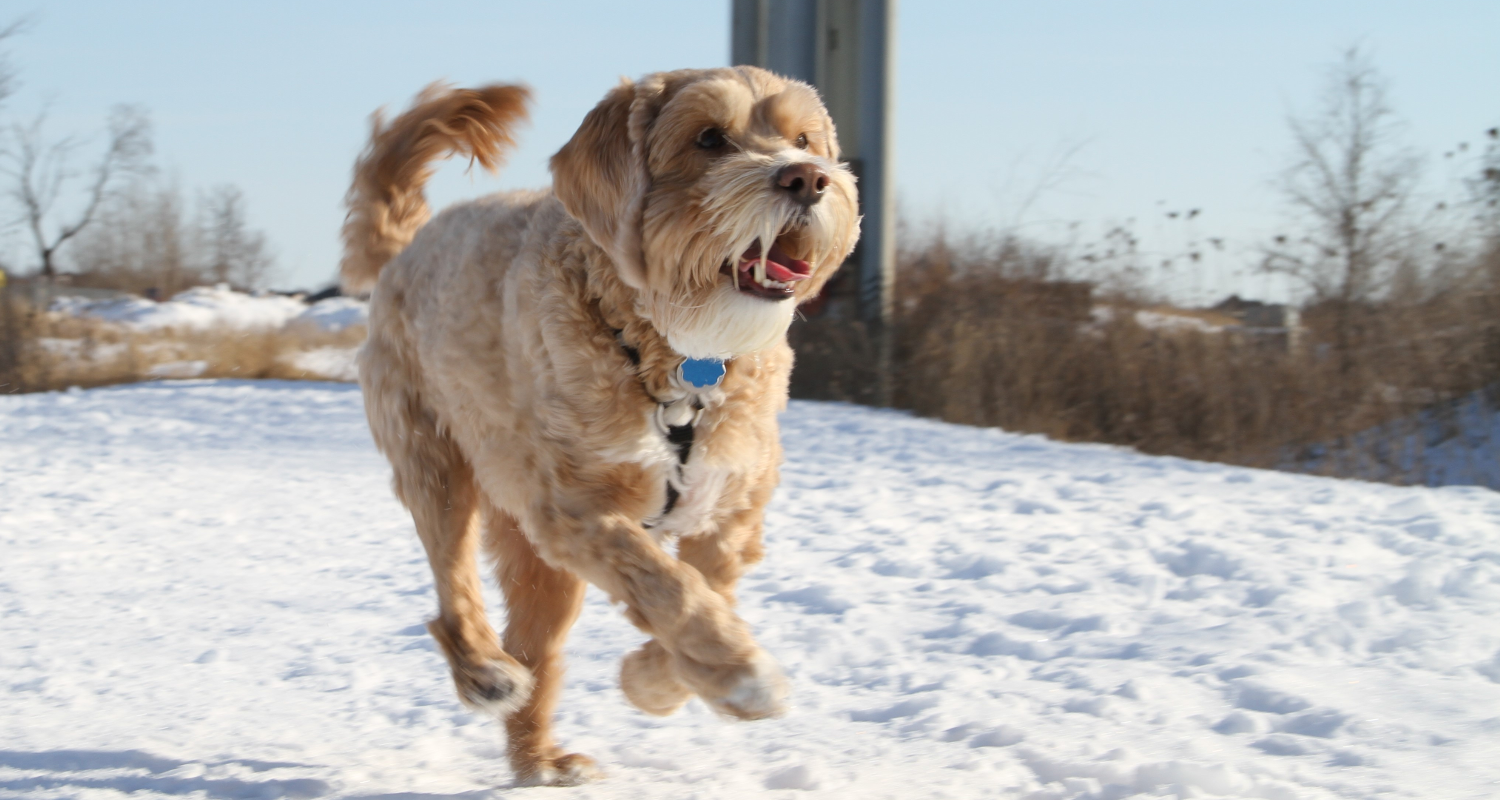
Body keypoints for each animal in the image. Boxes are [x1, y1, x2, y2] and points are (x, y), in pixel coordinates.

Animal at [339, 70, 858, 786]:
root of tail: (409, 248)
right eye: (708, 138)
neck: (678, 362)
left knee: (535, 650)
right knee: (453, 593)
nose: (807, 178)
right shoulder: (579, 511)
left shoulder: (732, 509)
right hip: (436, 464)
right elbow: (670, 588)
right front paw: (739, 674)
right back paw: (484, 672)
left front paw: (657, 681)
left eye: (803, 140)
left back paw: (539, 761)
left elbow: (709, 588)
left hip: (537, 560)